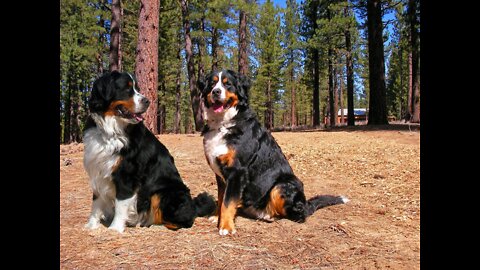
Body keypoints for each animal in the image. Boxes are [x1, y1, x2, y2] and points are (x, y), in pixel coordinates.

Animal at [83, 70, 215, 233]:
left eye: (136, 88)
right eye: (127, 88)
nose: (147, 101)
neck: (110, 131)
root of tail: (194, 206)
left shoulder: (126, 175)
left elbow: (121, 204)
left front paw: (115, 228)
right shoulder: (97, 170)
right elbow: (96, 203)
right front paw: (91, 225)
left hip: (163, 192)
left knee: (184, 221)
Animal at [199, 70, 348, 236]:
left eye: (227, 84)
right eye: (212, 83)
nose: (216, 92)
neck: (223, 124)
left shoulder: (237, 172)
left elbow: (227, 202)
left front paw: (226, 226)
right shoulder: (221, 175)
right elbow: (221, 198)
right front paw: (216, 216)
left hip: (282, 185)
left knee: (298, 215)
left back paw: (270, 215)